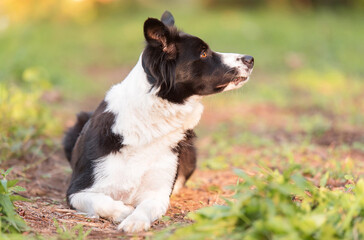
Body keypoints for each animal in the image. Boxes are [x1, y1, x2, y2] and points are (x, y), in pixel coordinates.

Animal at [63, 10, 253, 232]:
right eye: (204, 53)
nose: (250, 59)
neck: (149, 118)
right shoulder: (77, 190)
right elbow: (101, 201)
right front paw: (124, 211)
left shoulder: (157, 193)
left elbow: (146, 206)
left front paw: (134, 221)